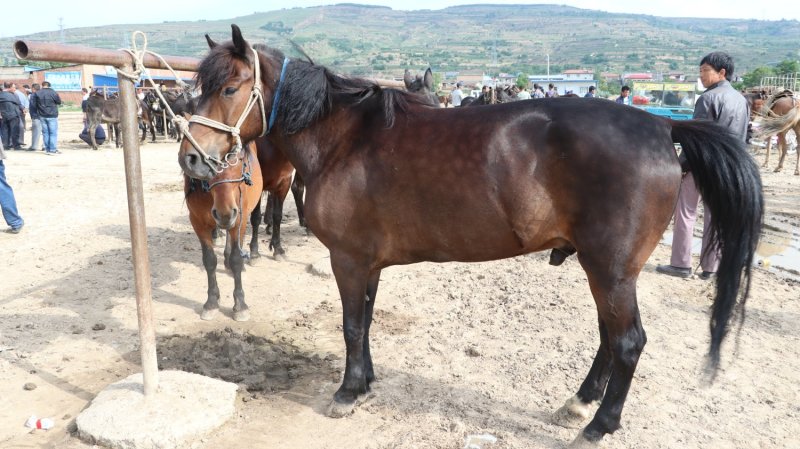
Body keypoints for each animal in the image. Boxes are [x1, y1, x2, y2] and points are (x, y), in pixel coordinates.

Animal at [184, 141, 263, 321]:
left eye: (239, 159)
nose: (225, 211)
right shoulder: (197, 222)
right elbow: (209, 260)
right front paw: (212, 302)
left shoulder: (238, 218)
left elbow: (236, 259)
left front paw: (240, 305)